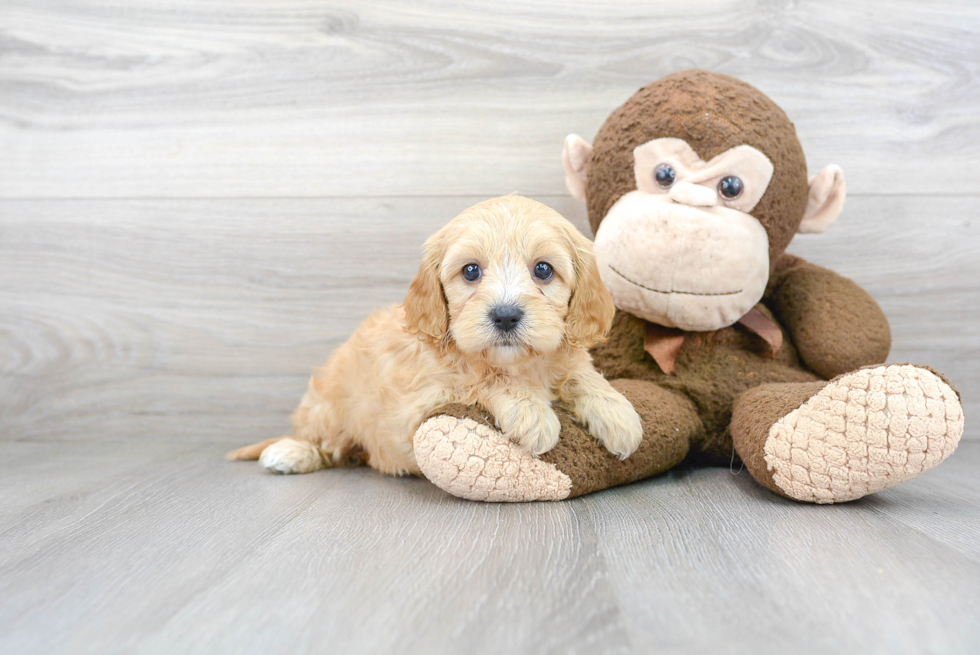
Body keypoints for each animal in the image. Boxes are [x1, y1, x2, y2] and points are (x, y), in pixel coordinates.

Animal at [227, 195, 648, 476]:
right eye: (471, 271)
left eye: (543, 269)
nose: (506, 315)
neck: (519, 365)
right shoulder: (417, 407)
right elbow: (479, 380)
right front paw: (531, 411)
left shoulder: (565, 356)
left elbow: (581, 375)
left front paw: (617, 414)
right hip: (328, 408)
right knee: (323, 442)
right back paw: (289, 453)